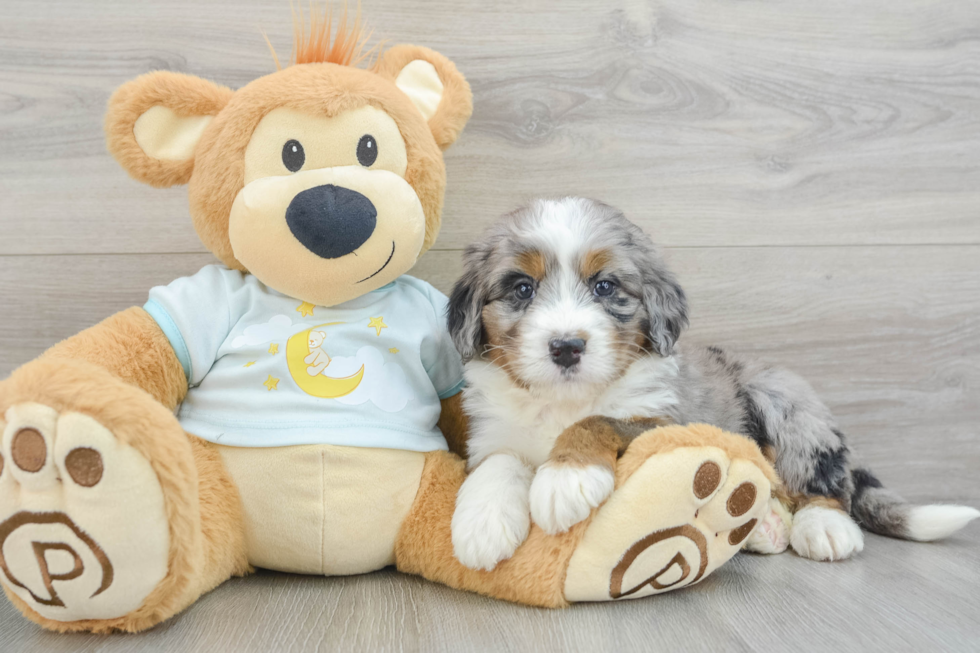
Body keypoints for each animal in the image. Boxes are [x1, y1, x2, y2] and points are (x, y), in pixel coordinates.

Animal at [446, 197, 980, 572]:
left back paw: (826, 528)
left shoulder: (666, 422)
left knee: (821, 483)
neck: (564, 401)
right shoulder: (493, 431)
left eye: (604, 286)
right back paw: (765, 527)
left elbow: (602, 420)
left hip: (781, 397)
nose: (566, 347)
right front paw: (481, 526)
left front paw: (564, 478)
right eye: (522, 288)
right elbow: (498, 462)